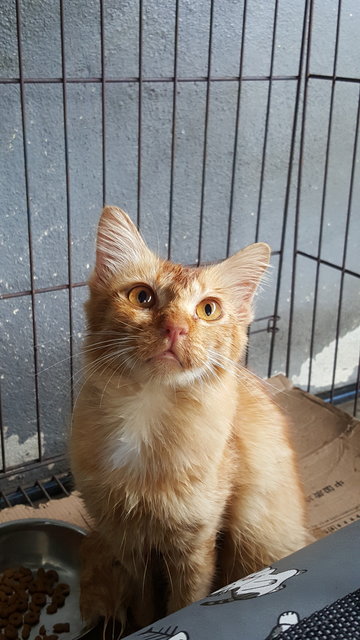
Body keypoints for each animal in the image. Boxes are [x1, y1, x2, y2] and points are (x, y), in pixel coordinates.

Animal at [70, 206, 310, 632]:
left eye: (208, 309)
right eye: (142, 296)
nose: (175, 328)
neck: (146, 414)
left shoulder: (196, 542)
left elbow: (185, 602)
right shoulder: (128, 542)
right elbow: (145, 606)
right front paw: (142, 626)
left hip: (254, 538)